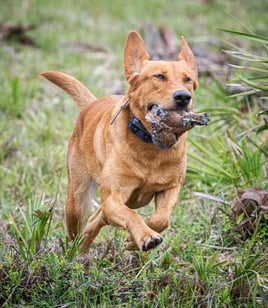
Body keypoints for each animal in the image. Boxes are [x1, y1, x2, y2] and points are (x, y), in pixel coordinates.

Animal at [40, 30, 198, 253]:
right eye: (159, 76)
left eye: (188, 79)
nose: (183, 97)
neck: (150, 146)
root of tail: (91, 104)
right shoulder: (114, 197)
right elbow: (131, 216)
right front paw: (145, 236)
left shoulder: (170, 188)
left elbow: (161, 219)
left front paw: (135, 239)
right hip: (77, 200)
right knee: (79, 229)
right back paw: (72, 254)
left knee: (98, 218)